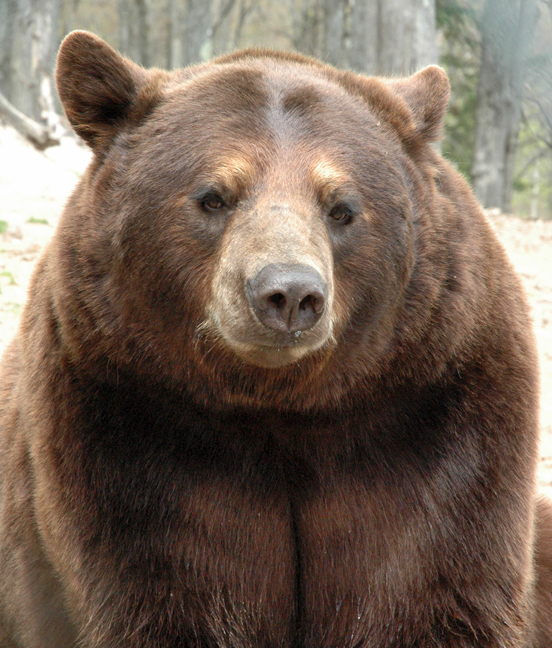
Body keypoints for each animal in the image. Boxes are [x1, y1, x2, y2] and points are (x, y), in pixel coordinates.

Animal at [1, 29, 552, 648]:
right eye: (213, 195)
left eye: (342, 207)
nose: (288, 293)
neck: (281, 407)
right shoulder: (126, 419)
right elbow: (163, 588)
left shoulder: (432, 414)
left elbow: (431, 592)